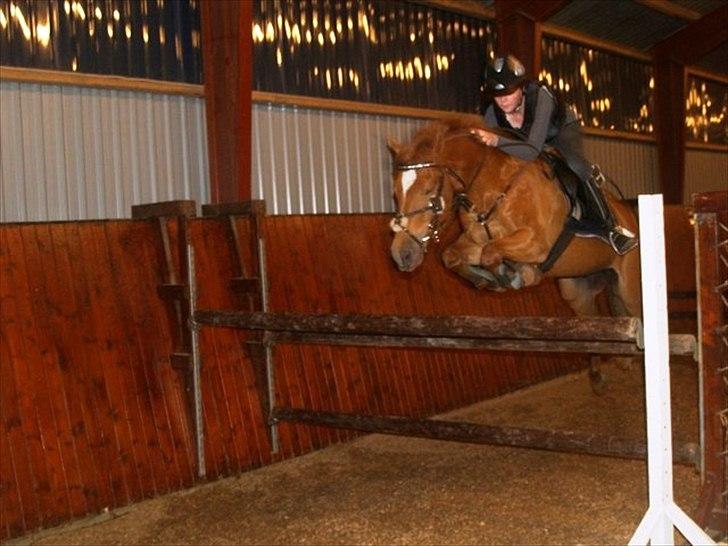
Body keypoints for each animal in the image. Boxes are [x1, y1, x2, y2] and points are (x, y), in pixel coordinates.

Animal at [387, 114, 641, 390]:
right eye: (395, 193)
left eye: (429, 190)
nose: (401, 255)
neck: (492, 187)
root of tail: (628, 214)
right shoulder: (475, 240)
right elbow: (454, 255)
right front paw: (488, 279)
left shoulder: (537, 244)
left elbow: (491, 253)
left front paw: (516, 276)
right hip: (576, 289)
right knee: (592, 324)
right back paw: (598, 375)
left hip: (629, 287)